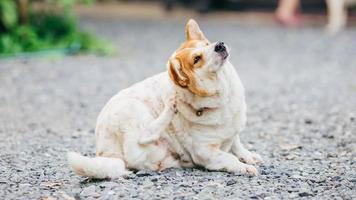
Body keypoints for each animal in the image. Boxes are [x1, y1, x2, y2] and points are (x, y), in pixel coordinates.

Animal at [67, 19, 262, 178]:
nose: (219, 45)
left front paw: (248, 156)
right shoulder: (206, 153)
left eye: (207, 43)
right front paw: (243, 167)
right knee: (143, 137)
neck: (222, 95)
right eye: (196, 59)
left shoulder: (232, 131)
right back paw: (169, 109)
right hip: (132, 108)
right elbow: (228, 158)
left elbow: (237, 144)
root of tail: (105, 152)